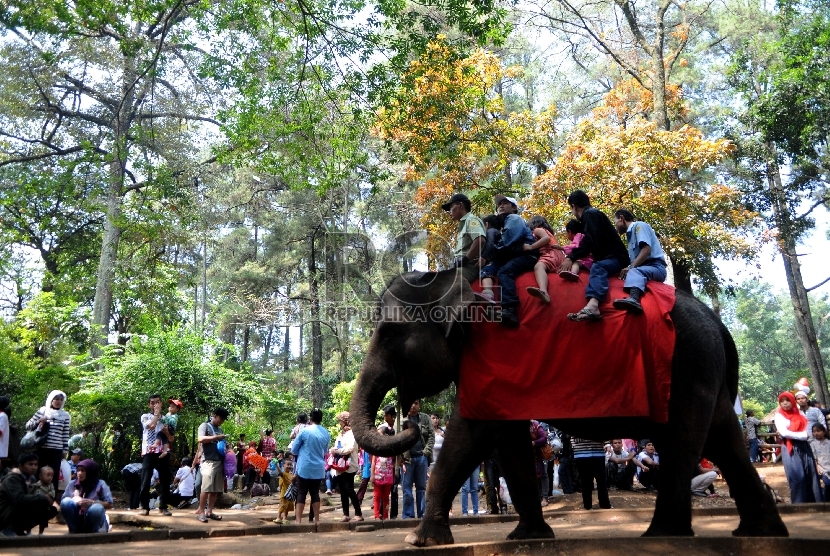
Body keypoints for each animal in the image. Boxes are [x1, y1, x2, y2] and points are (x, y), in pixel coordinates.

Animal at [352, 272, 792, 544]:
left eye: (389, 334)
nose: (409, 421)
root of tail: (720, 326)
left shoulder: (491, 357)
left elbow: (472, 433)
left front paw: (417, 540)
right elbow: (506, 440)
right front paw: (527, 538)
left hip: (687, 370)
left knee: (685, 441)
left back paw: (663, 534)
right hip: (704, 376)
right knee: (723, 439)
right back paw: (759, 532)